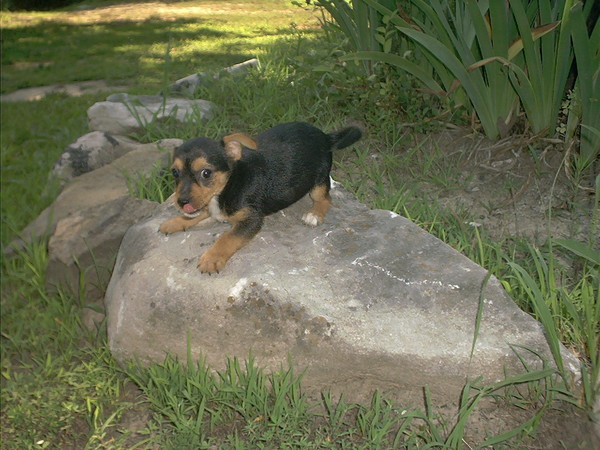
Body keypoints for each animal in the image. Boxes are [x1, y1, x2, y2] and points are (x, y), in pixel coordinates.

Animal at [159, 121, 364, 272]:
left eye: (206, 173)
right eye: (175, 173)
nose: (181, 202)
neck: (229, 184)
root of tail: (324, 136)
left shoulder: (251, 219)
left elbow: (227, 237)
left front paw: (212, 257)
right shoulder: (207, 204)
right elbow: (198, 213)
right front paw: (175, 222)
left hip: (318, 180)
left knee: (325, 198)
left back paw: (314, 214)